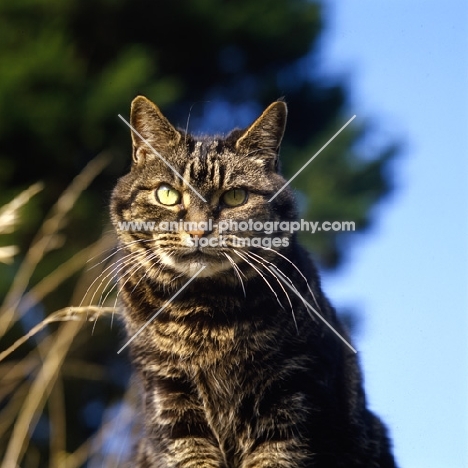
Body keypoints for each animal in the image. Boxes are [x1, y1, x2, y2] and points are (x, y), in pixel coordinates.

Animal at [110, 96, 398, 468]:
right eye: (167, 195)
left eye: (235, 197)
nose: (199, 231)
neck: (207, 315)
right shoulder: (170, 396)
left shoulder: (291, 394)